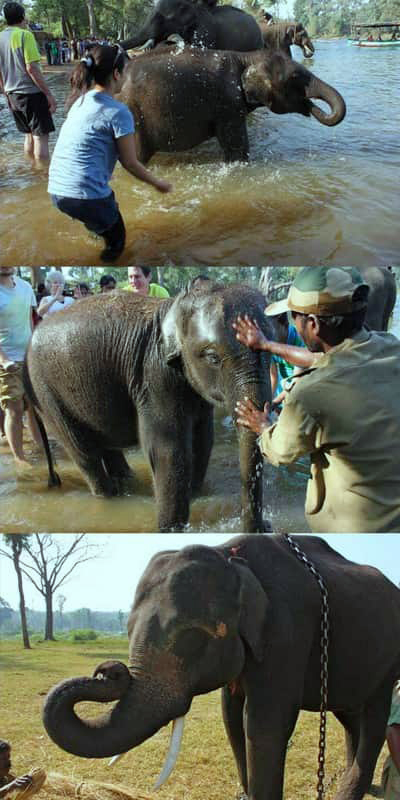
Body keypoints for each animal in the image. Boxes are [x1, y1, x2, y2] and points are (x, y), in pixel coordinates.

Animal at [24, 282, 274, 532]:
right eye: (213, 358)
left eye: (271, 352)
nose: (264, 527)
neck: (177, 305)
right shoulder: (153, 375)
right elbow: (168, 450)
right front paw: (169, 529)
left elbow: (203, 441)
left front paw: (194, 495)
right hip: (46, 393)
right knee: (83, 452)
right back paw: (109, 494)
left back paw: (126, 480)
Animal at [42, 534, 400, 800]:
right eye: (127, 630)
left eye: (189, 636)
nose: (108, 670)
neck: (229, 554)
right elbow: (232, 718)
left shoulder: (287, 629)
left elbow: (264, 723)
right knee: (351, 716)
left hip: (388, 662)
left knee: (376, 716)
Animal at [117, 46, 346, 163]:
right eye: (295, 76)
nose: (311, 106)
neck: (247, 56)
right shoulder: (227, 103)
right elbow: (238, 148)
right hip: (131, 117)